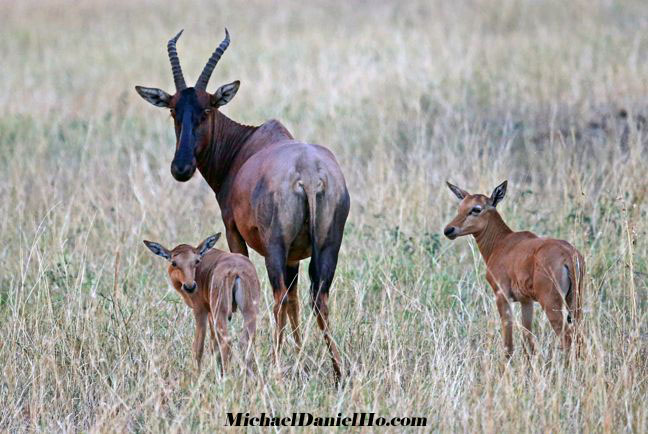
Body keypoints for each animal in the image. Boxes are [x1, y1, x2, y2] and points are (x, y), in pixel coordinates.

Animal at [143, 234, 260, 372]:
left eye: (196, 261)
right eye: (174, 262)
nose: (190, 287)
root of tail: (235, 270)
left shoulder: (200, 310)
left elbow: (198, 348)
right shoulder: (210, 313)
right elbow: (213, 344)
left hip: (220, 312)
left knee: (226, 342)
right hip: (249, 311)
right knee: (247, 341)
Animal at [442, 181, 584, 358]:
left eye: (476, 208)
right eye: (460, 207)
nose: (449, 230)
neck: (503, 242)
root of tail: (568, 255)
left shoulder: (502, 297)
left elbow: (508, 345)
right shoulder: (526, 301)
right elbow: (528, 341)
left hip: (551, 304)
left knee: (567, 338)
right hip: (575, 303)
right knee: (580, 337)